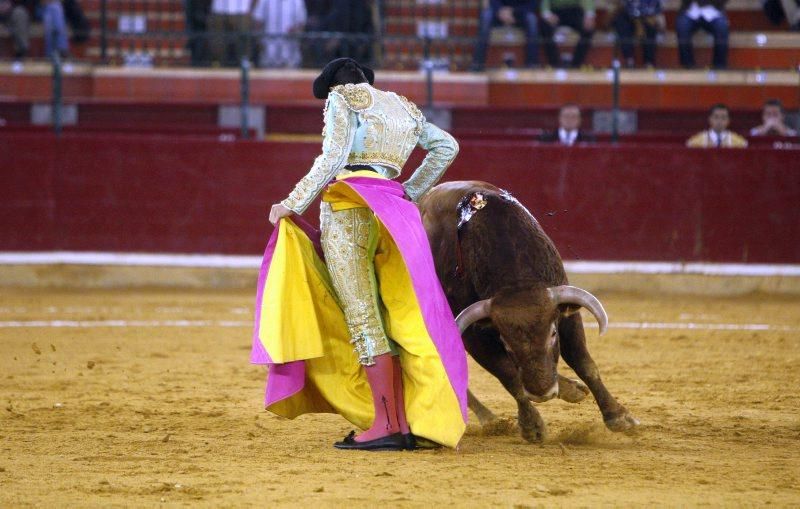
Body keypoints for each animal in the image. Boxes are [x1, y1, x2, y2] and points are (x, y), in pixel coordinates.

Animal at [418, 182, 636, 440]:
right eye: (506, 343)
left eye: (553, 334)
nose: (542, 392)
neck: (517, 283)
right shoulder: (474, 336)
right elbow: (509, 375)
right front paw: (532, 426)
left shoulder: (566, 314)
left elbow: (583, 362)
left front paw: (618, 416)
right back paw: (491, 420)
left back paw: (570, 389)